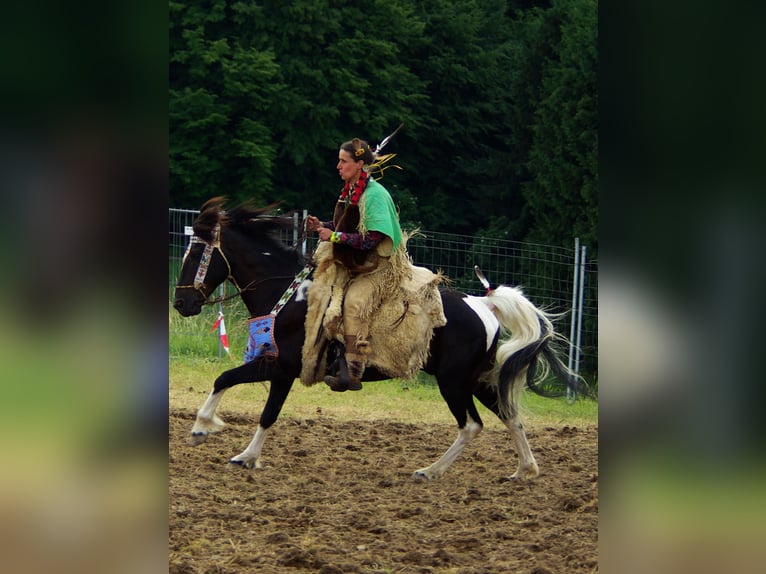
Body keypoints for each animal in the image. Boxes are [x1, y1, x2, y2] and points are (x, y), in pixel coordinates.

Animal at [174, 198, 584, 482]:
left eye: (194, 254)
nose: (181, 303)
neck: (290, 295)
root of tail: (484, 304)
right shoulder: (279, 366)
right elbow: (236, 387)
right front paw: (218, 436)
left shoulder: (283, 366)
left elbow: (257, 404)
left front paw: (222, 440)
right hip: (476, 380)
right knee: (510, 415)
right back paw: (524, 471)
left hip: (453, 382)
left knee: (471, 425)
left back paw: (430, 471)